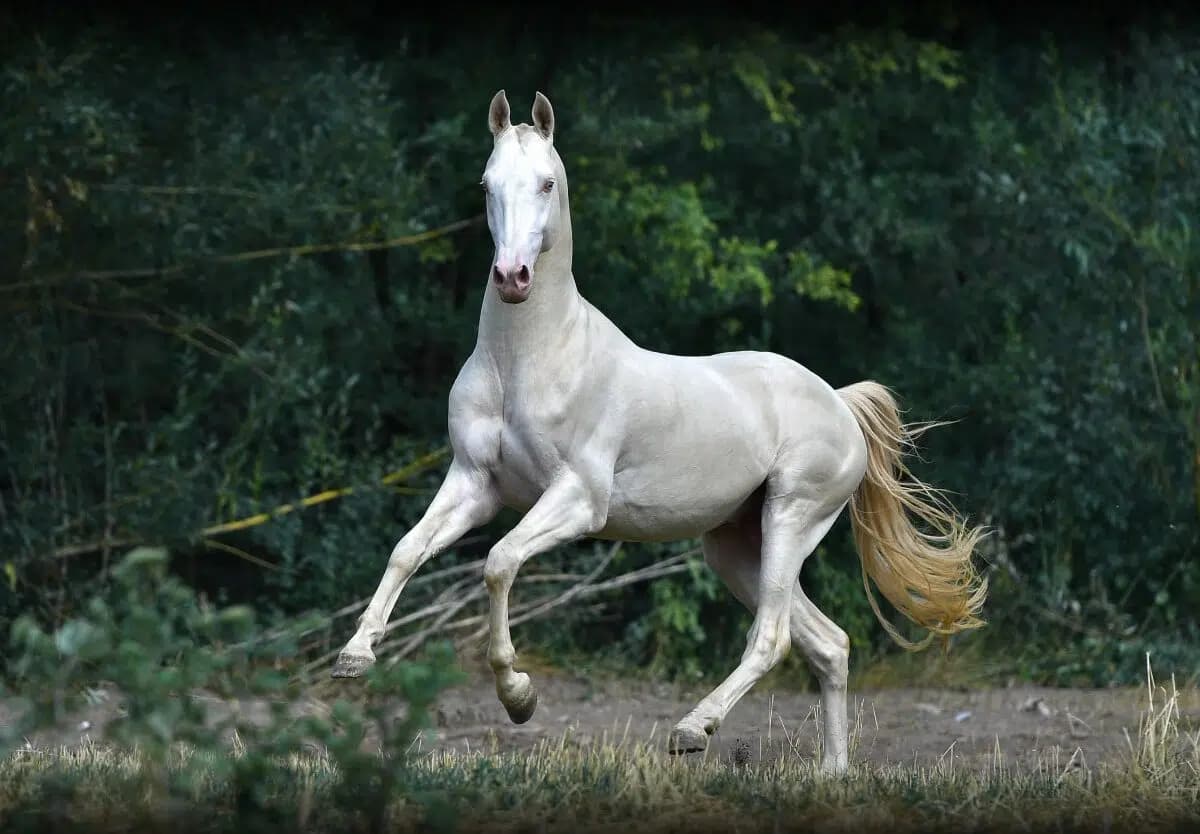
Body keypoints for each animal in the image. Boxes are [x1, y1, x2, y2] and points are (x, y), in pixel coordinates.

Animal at [331, 89, 988, 775]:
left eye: (546, 183)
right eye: (487, 185)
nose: (511, 277)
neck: (528, 362)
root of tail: (837, 402)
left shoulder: (579, 499)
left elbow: (499, 561)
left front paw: (519, 697)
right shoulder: (474, 484)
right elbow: (408, 548)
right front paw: (355, 655)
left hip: (790, 518)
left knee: (773, 638)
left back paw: (692, 730)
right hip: (736, 547)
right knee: (828, 643)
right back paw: (831, 773)